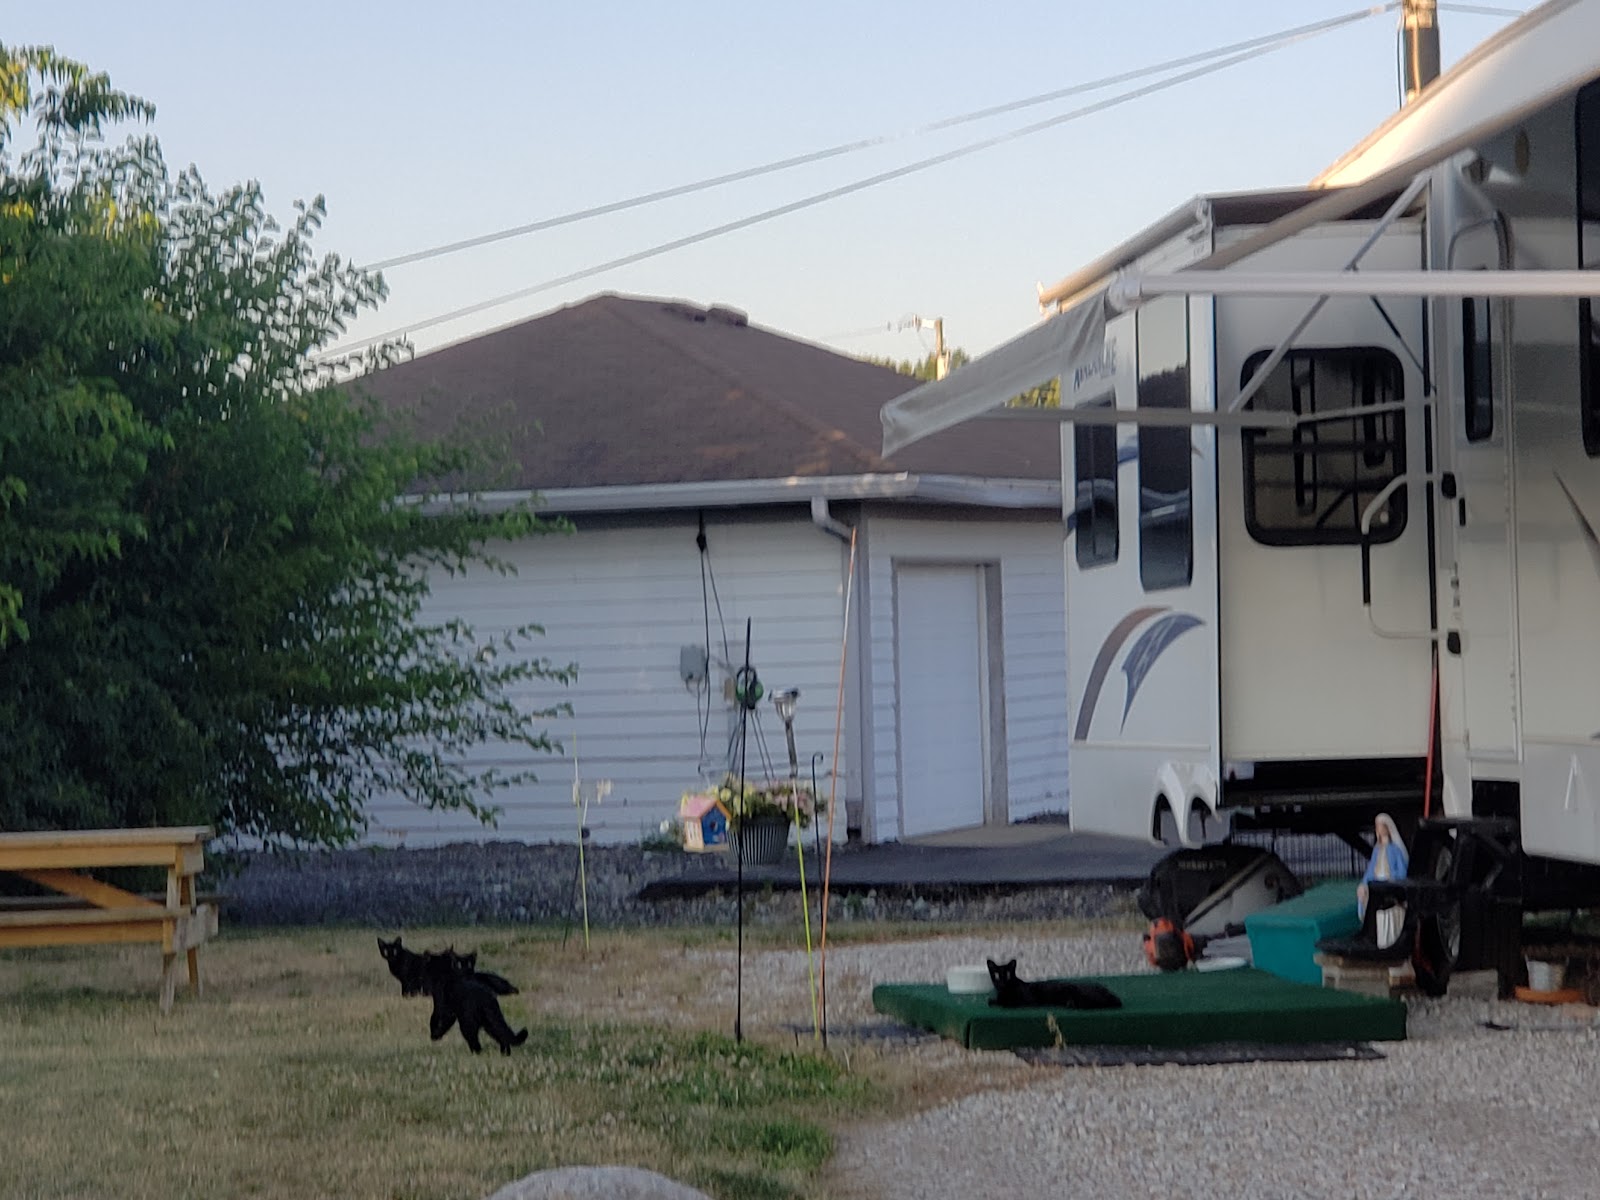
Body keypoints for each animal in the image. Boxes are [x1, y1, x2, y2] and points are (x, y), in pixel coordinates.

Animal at [986, 958, 1122, 1010]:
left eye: (1008, 975)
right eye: (997, 975)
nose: (1002, 982)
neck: (1004, 992)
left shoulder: (1024, 1001)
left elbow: (1005, 1003)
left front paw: (994, 1001)